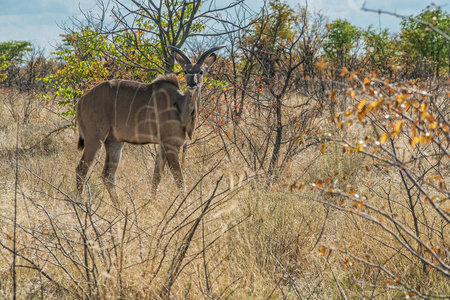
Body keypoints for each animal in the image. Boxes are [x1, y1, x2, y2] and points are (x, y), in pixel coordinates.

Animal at [76, 45, 229, 205]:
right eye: (186, 71)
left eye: (201, 71)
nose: (192, 83)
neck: (179, 106)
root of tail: (81, 101)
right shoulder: (169, 143)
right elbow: (178, 177)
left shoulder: (162, 145)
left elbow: (156, 177)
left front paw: (151, 203)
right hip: (95, 139)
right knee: (81, 170)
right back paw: (80, 204)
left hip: (114, 142)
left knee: (108, 175)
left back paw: (119, 207)